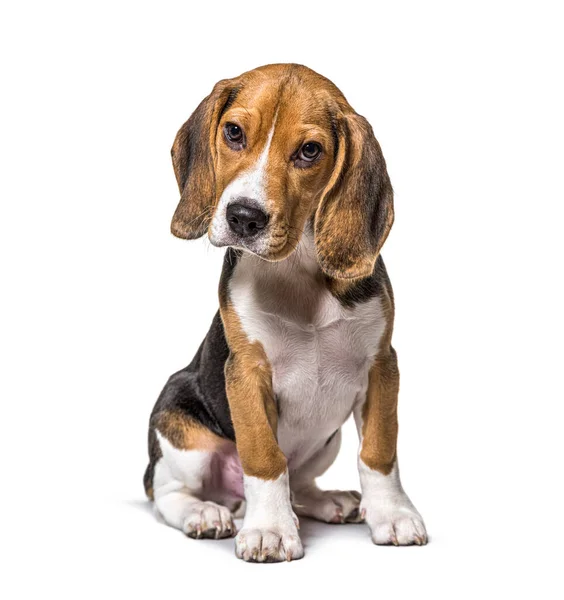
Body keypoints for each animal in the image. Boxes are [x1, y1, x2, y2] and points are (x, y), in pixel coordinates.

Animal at [145, 64, 428, 564]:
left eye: (309, 151)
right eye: (233, 133)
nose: (243, 217)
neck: (296, 268)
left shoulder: (381, 365)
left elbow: (379, 451)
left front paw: (392, 515)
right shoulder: (246, 373)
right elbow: (264, 457)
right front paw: (270, 532)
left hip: (326, 441)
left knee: (300, 483)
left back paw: (328, 502)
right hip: (180, 429)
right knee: (168, 494)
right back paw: (206, 514)